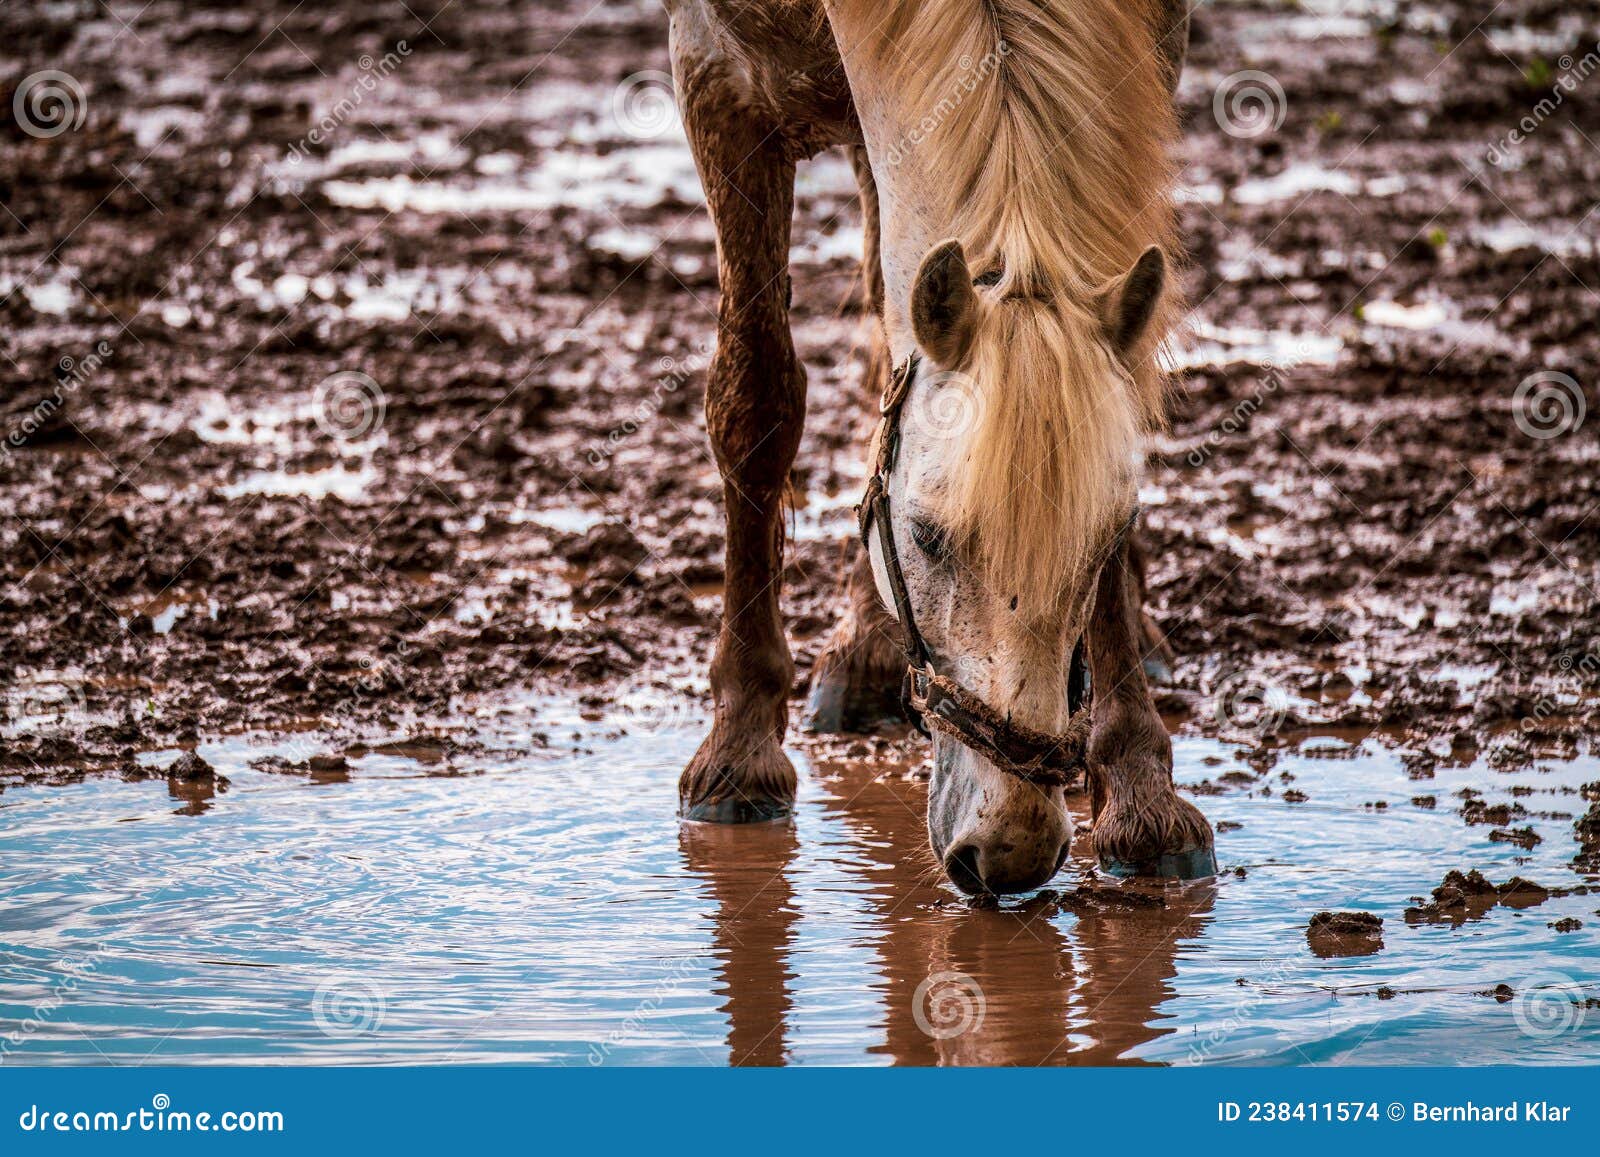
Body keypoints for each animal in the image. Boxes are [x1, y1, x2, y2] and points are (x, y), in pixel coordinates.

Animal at [666, 0, 1215, 893]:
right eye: (925, 536)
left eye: (1105, 538)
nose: (1011, 850)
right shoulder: (717, 76)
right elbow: (756, 400)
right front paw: (739, 749)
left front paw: (1141, 795)